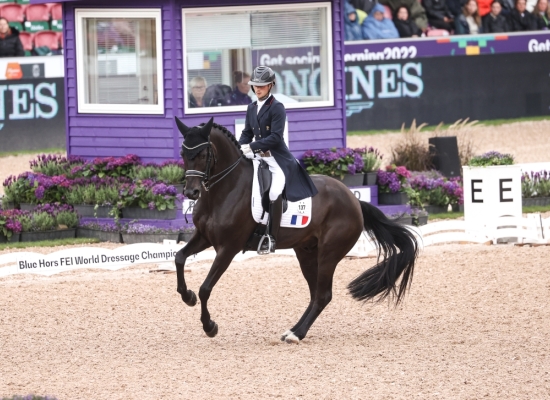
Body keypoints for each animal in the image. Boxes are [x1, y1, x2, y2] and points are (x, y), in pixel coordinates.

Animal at [175, 116, 420, 344]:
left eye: (203, 155)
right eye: (183, 153)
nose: (191, 193)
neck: (224, 190)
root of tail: (354, 200)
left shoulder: (229, 248)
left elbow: (206, 288)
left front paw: (210, 327)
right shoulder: (204, 237)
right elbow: (179, 257)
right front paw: (188, 296)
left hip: (329, 253)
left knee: (323, 295)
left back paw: (296, 334)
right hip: (306, 252)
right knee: (315, 294)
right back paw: (293, 331)